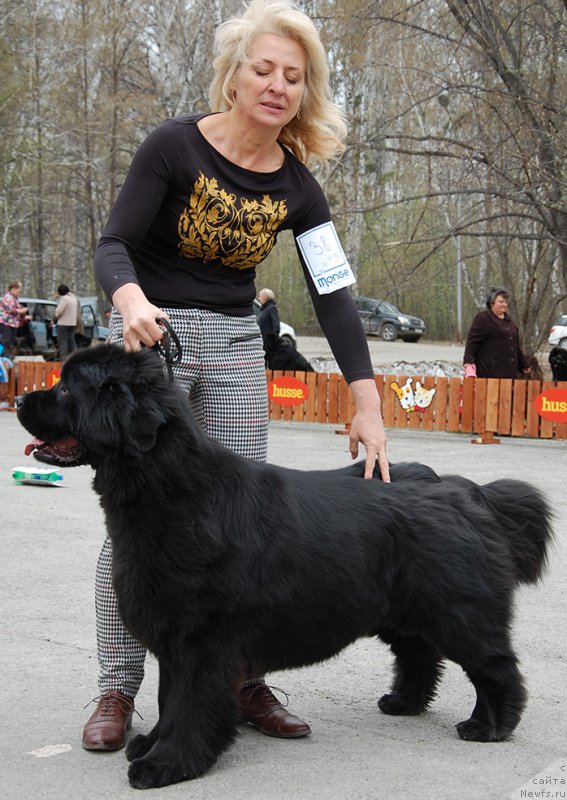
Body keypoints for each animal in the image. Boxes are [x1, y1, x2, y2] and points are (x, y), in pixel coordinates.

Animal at [15, 344, 552, 788]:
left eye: (66, 388)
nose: (19, 398)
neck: (169, 487)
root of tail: (465, 490)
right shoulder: (174, 636)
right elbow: (169, 699)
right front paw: (152, 743)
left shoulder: (202, 640)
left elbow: (189, 703)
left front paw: (168, 764)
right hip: (399, 608)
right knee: (419, 654)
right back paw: (404, 703)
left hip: (460, 611)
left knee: (494, 666)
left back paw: (490, 726)